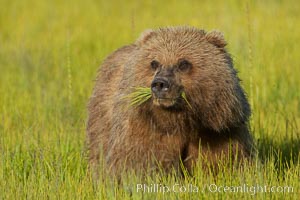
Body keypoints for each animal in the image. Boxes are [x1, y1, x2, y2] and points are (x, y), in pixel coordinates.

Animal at [86, 26, 255, 178]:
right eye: (154, 62)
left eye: (183, 63)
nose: (160, 84)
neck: (179, 119)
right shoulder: (144, 129)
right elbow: (139, 163)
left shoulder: (218, 132)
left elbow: (223, 161)